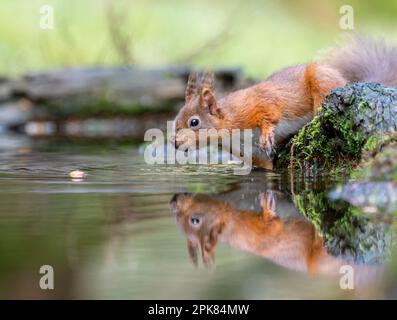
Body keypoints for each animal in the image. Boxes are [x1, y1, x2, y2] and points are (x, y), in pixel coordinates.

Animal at [172, 37, 396, 157]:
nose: (174, 143)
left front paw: (266, 135)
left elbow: (270, 113)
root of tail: (347, 82)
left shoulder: (258, 103)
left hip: (321, 80)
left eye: (194, 122)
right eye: (175, 120)